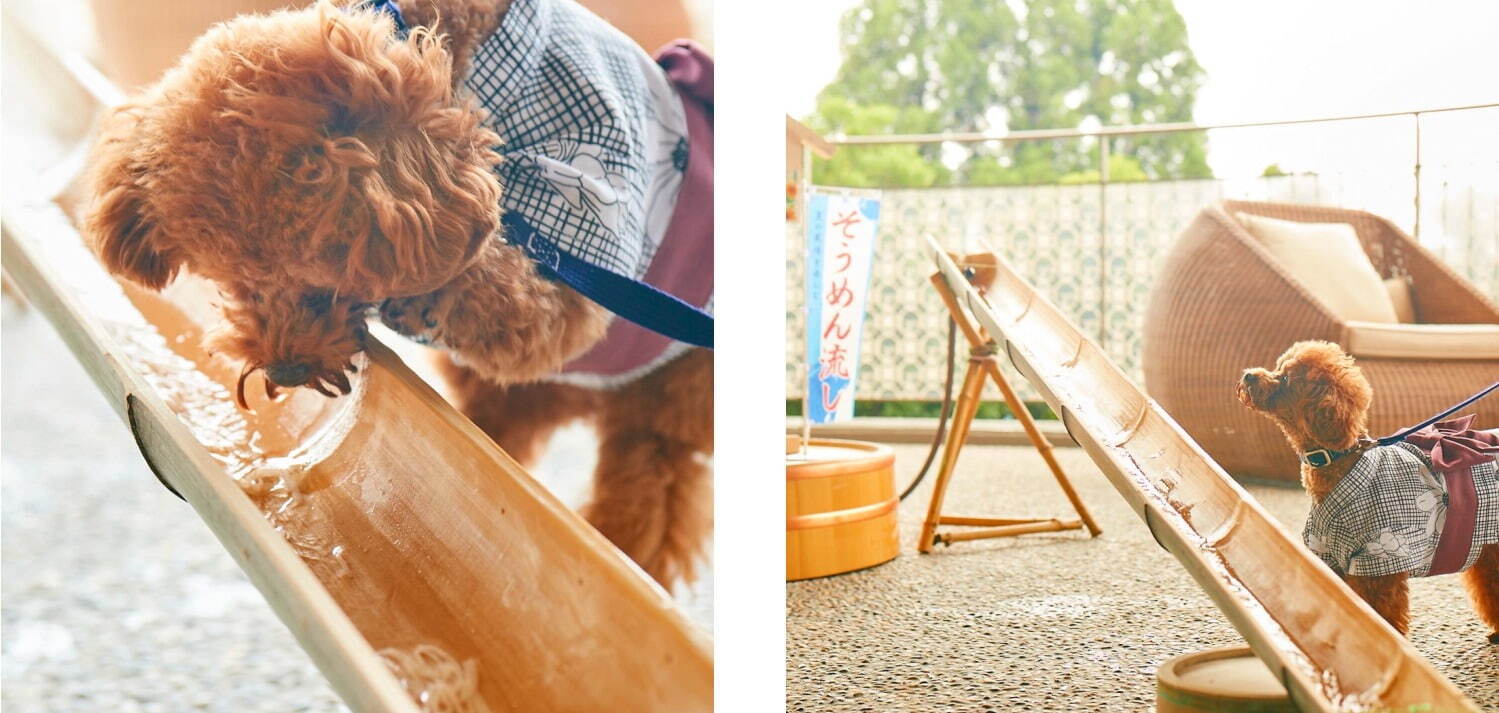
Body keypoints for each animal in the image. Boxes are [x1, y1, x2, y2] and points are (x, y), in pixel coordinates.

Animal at [79, 0, 710, 590]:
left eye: (322, 283)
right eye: (237, 282)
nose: (284, 372)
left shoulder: (588, 216)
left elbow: (518, 305)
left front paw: (429, 293)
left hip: (665, 404)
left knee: (651, 496)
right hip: (525, 398)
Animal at [1241, 340, 1499, 641]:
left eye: (1284, 379)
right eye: (1278, 367)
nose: (1248, 375)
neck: (1339, 461)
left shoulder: (1377, 563)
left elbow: (1379, 617)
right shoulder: (1331, 558)